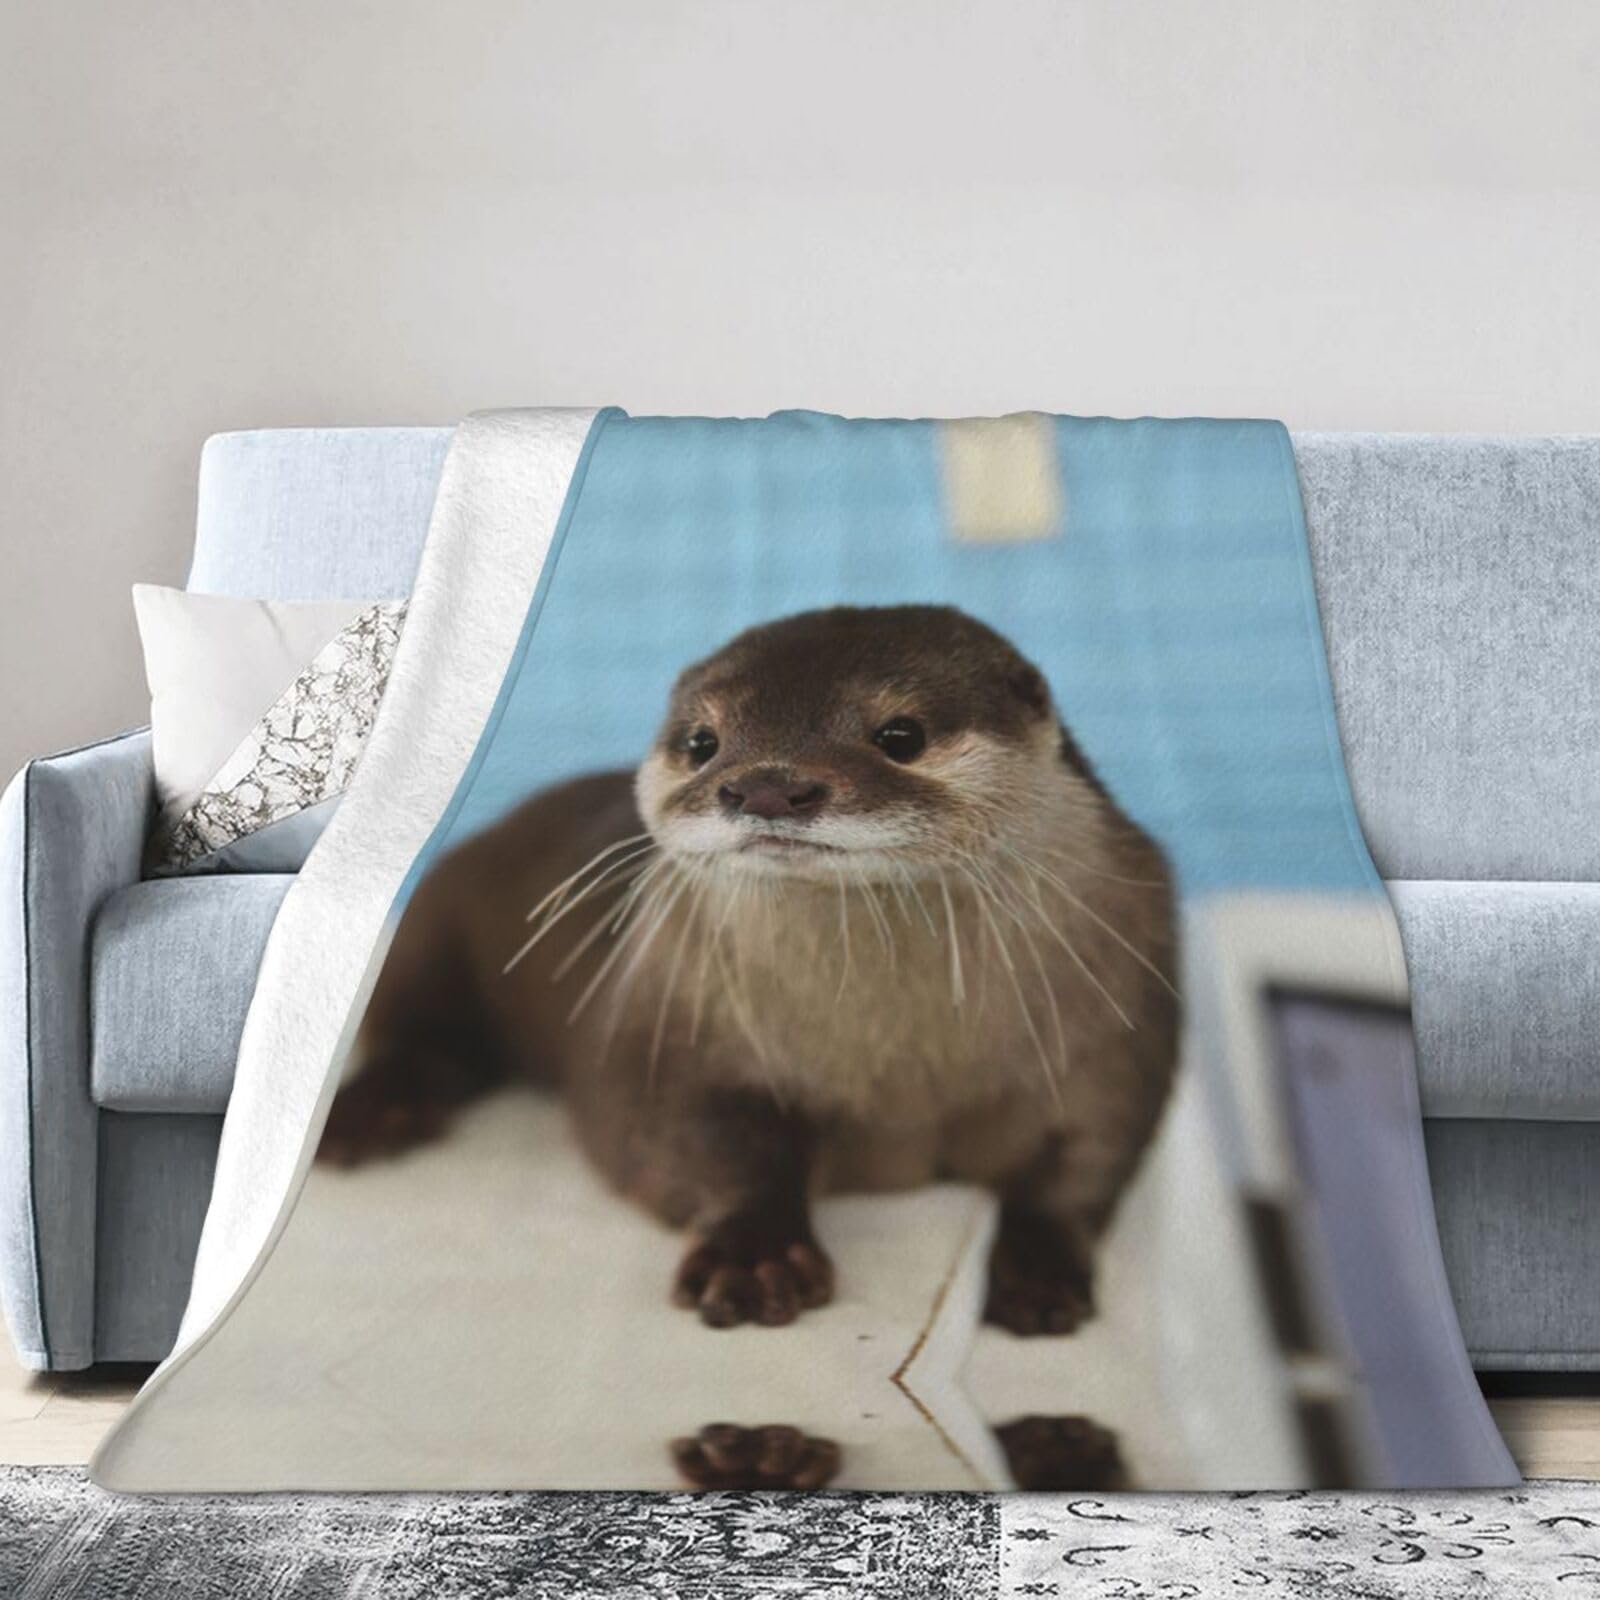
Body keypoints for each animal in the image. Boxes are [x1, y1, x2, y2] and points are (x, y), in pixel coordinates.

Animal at [319, 605, 1178, 1486]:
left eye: (900, 734)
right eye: (704, 741)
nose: (766, 784)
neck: (899, 1071)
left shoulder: (1119, 1026)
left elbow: (1087, 1157)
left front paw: (1038, 1276)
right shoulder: (662, 1025)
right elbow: (692, 1137)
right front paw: (755, 1259)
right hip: (436, 915)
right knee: (424, 1031)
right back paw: (370, 1117)